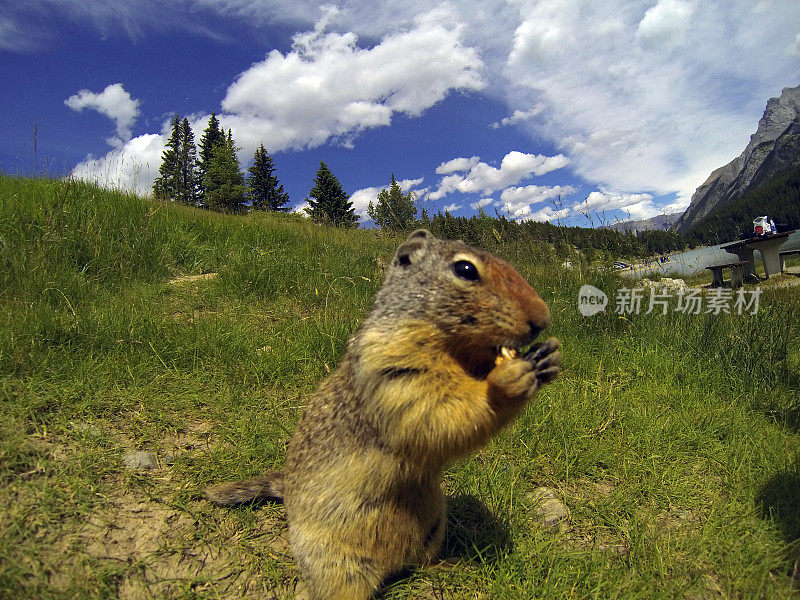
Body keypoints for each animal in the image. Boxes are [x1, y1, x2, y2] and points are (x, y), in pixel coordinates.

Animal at [209, 230, 564, 600]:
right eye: (465, 269)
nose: (543, 319)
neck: (452, 349)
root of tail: (390, 568)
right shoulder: (392, 363)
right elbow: (435, 408)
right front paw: (507, 379)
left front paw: (547, 358)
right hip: (334, 561)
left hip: (434, 522)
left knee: (419, 562)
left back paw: (449, 564)